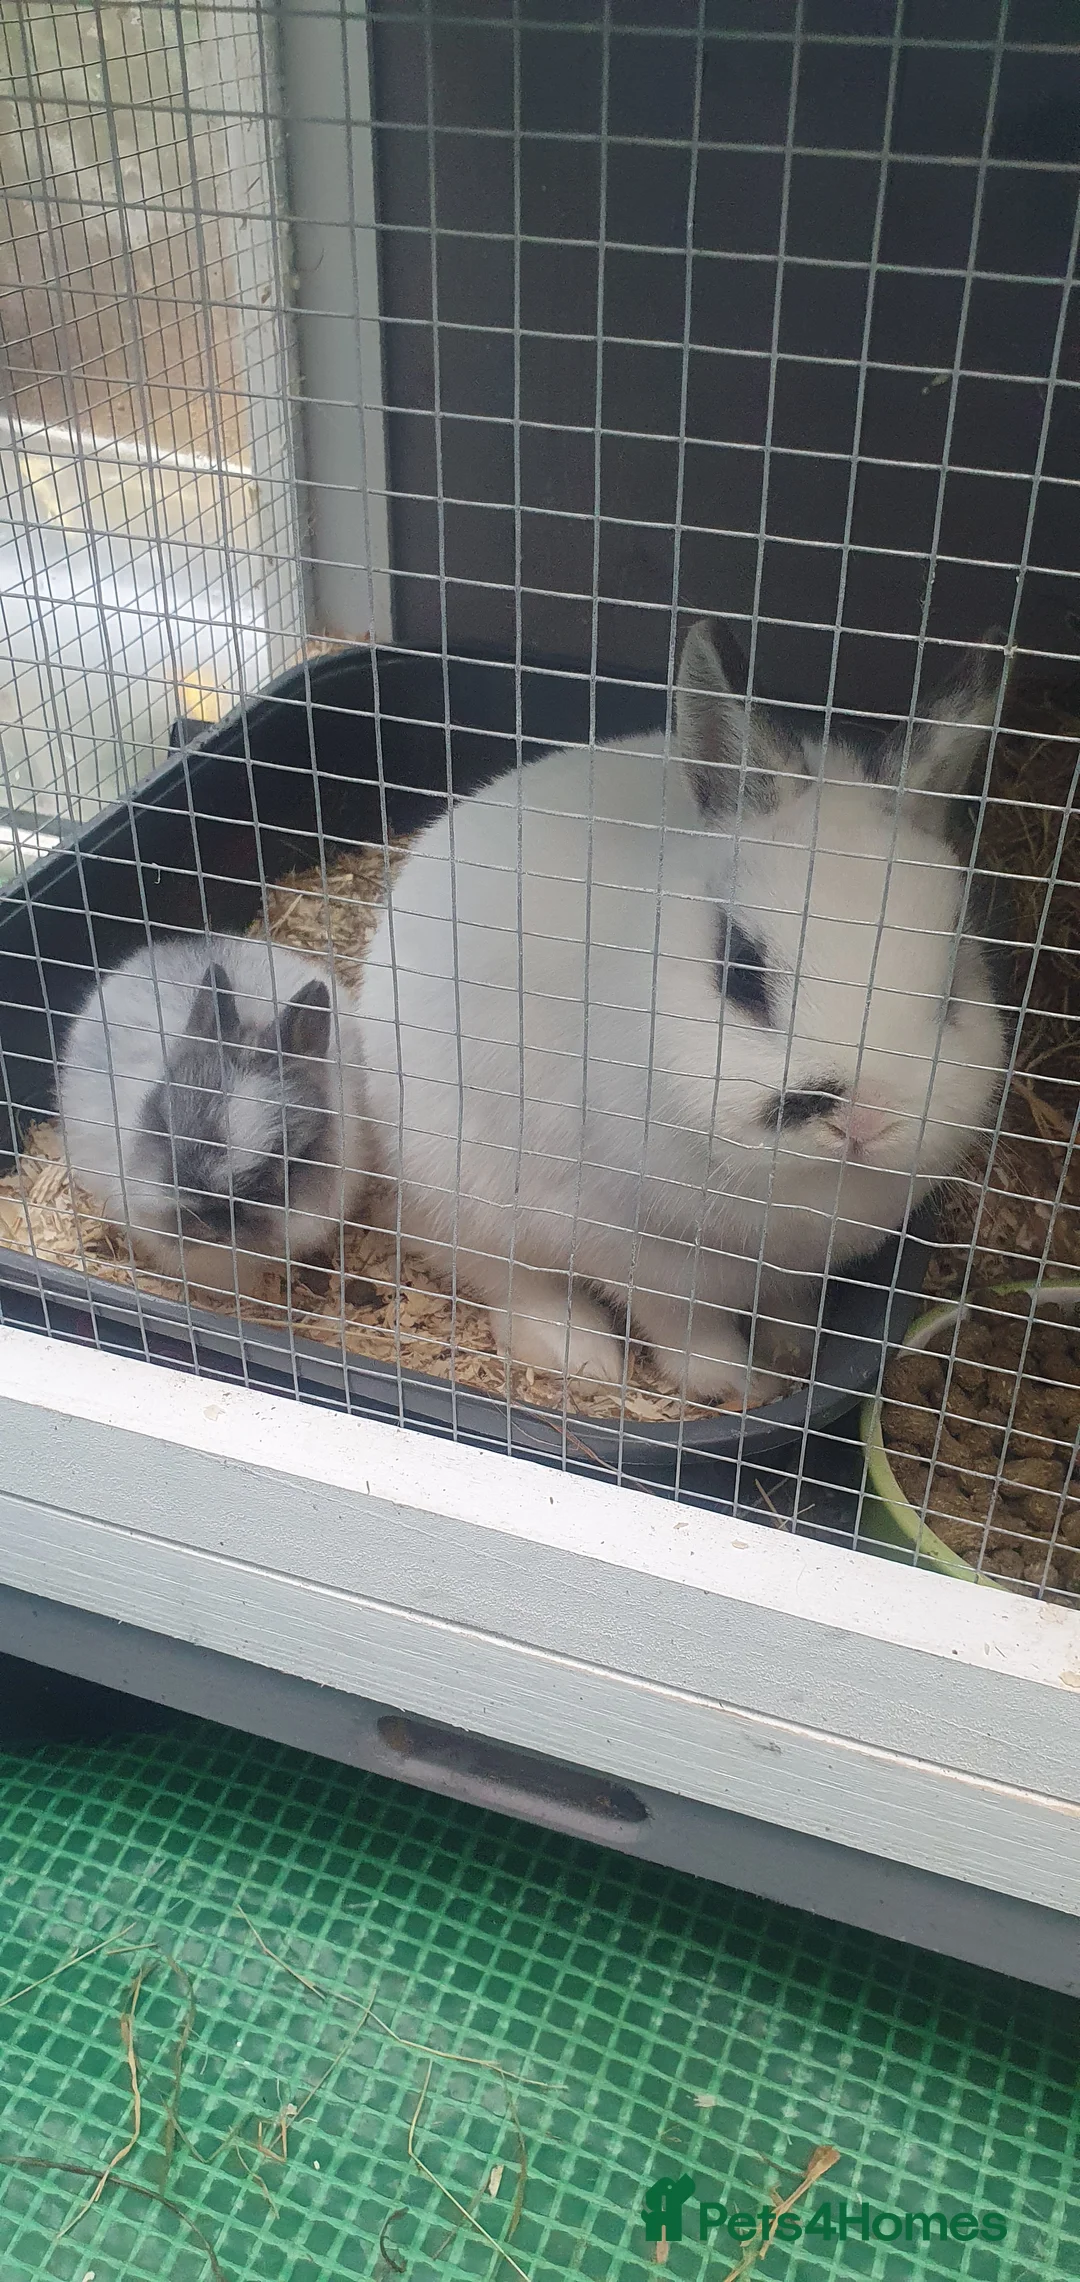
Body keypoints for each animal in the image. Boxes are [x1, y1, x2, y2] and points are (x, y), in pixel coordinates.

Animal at [357, 618, 1010, 1408]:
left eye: (954, 985)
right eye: (742, 972)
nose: (862, 1119)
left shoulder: (793, 1267)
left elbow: (785, 1305)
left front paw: (794, 1351)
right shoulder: (634, 1250)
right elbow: (682, 1327)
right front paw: (735, 1381)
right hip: (462, 1187)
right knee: (505, 1281)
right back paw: (582, 1354)